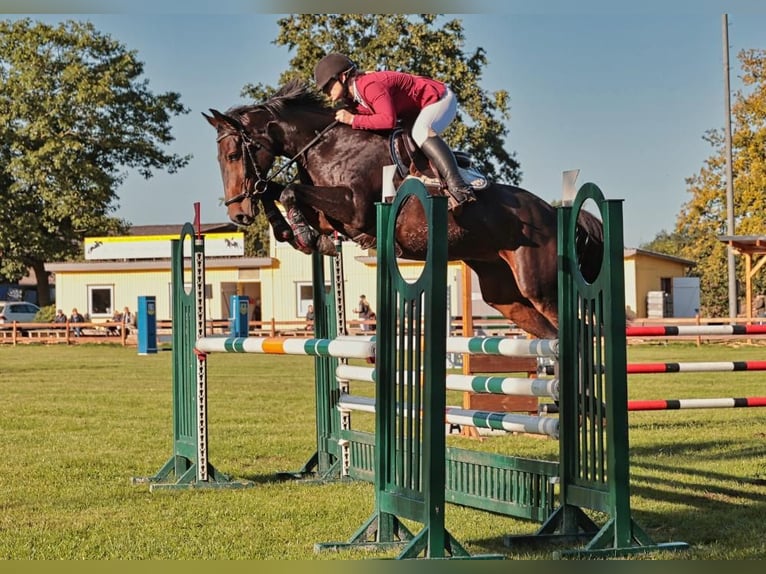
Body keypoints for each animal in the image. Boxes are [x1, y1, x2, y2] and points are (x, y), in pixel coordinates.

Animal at [206, 81, 608, 342]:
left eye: (233, 154)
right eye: (220, 158)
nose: (238, 214)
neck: (329, 144)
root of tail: (557, 216)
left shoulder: (354, 209)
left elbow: (289, 189)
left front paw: (306, 237)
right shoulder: (332, 214)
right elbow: (278, 190)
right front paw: (294, 233)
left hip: (541, 287)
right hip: (505, 295)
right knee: (551, 336)